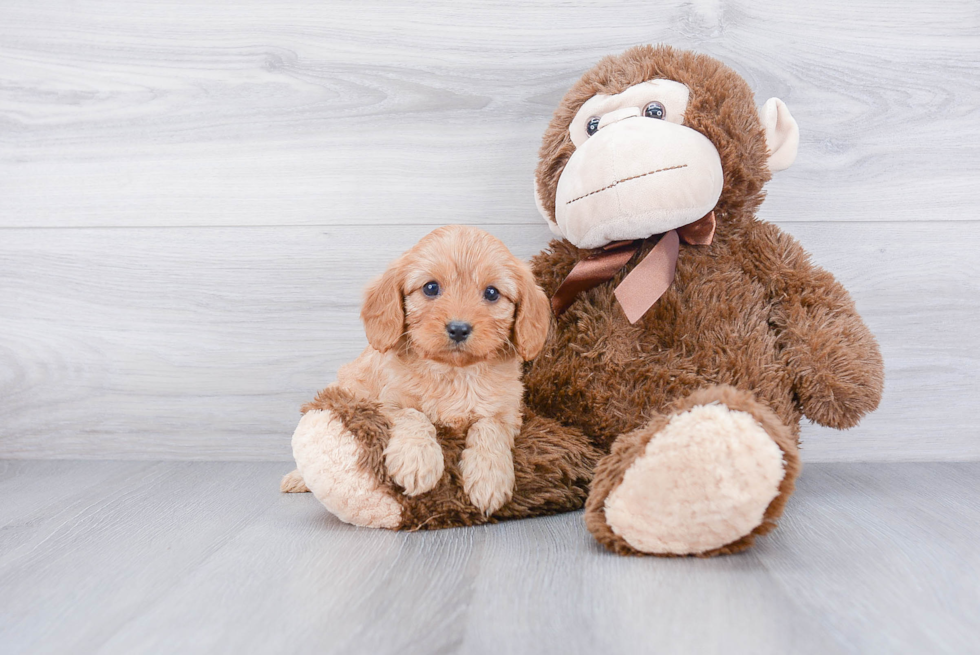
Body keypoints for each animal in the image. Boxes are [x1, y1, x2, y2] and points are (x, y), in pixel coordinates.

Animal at [290, 228, 552, 516]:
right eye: (431, 287)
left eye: (492, 293)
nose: (458, 329)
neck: (453, 372)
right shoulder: (385, 403)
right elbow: (413, 414)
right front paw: (416, 460)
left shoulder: (508, 413)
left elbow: (489, 428)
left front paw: (489, 478)